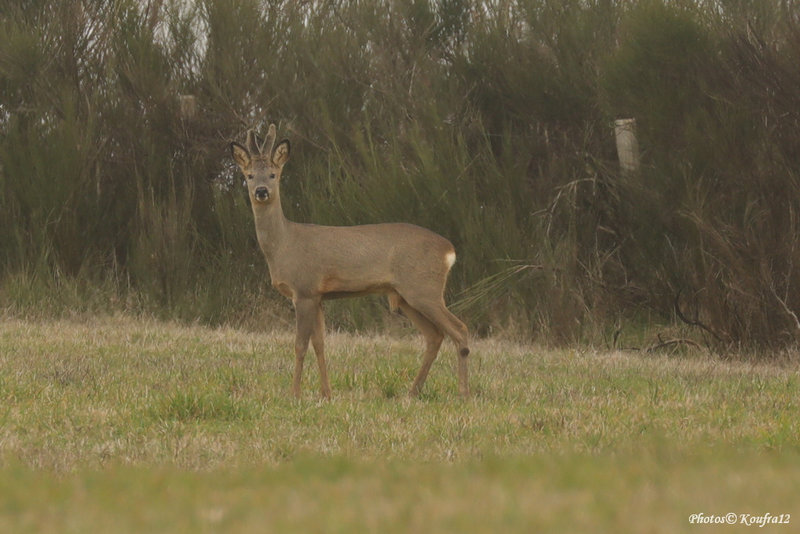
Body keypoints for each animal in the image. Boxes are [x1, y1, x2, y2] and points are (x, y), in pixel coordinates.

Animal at [230, 125, 468, 400]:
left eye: (273, 174)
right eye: (249, 175)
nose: (261, 191)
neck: (284, 244)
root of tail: (449, 250)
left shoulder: (304, 290)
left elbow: (300, 344)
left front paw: (295, 394)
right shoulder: (318, 296)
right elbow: (320, 344)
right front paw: (326, 393)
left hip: (424, 289)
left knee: (459, 329)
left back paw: (463, 393)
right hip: (405, 296)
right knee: (435, 335)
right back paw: (412, 392)